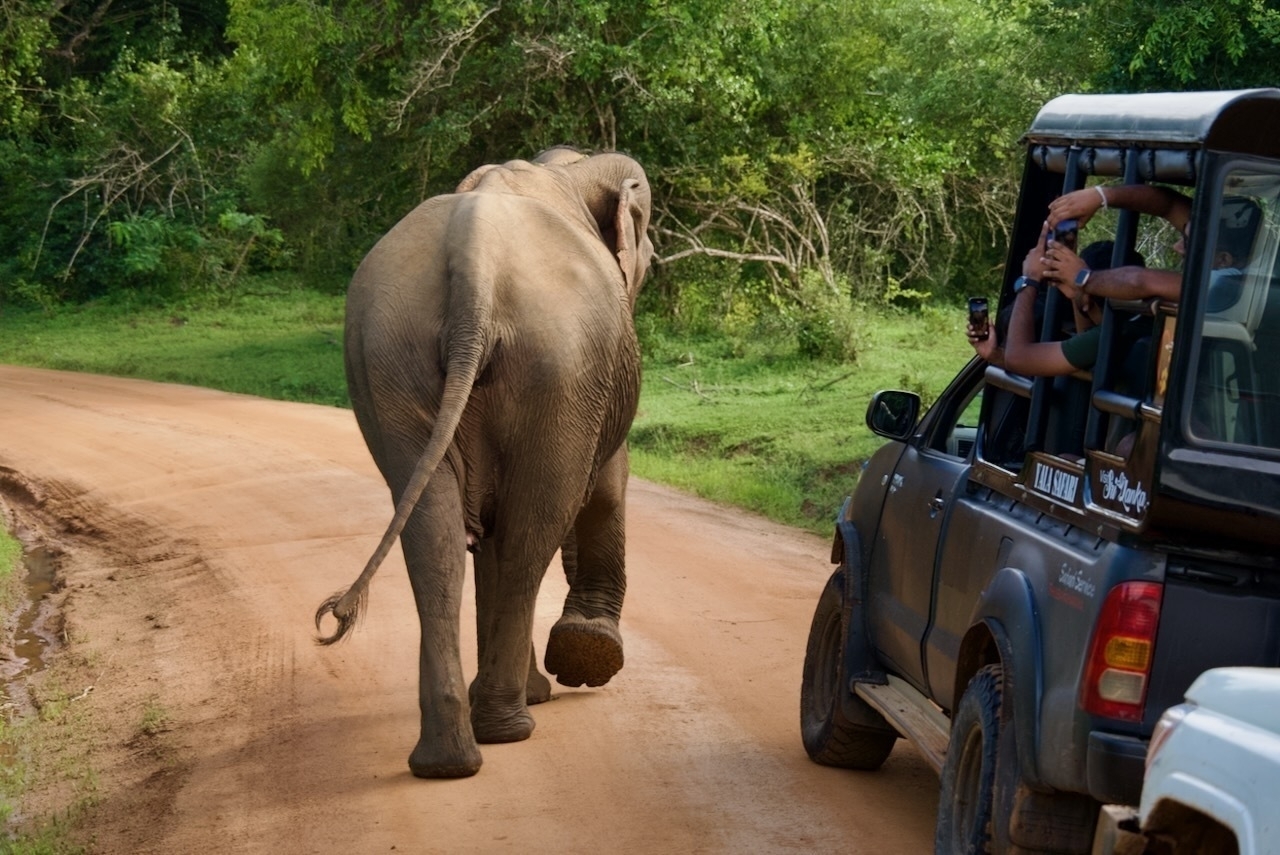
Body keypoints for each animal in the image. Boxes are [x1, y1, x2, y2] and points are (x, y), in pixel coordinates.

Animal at [316, 148, 655, 783]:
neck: (571, 166)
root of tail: (474, 263)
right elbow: (604, 483)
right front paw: (584, 657)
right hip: (560, 363)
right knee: (530, 532)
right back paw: (507, 727)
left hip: (391, 356)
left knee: (436, 535)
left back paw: (449, 758)